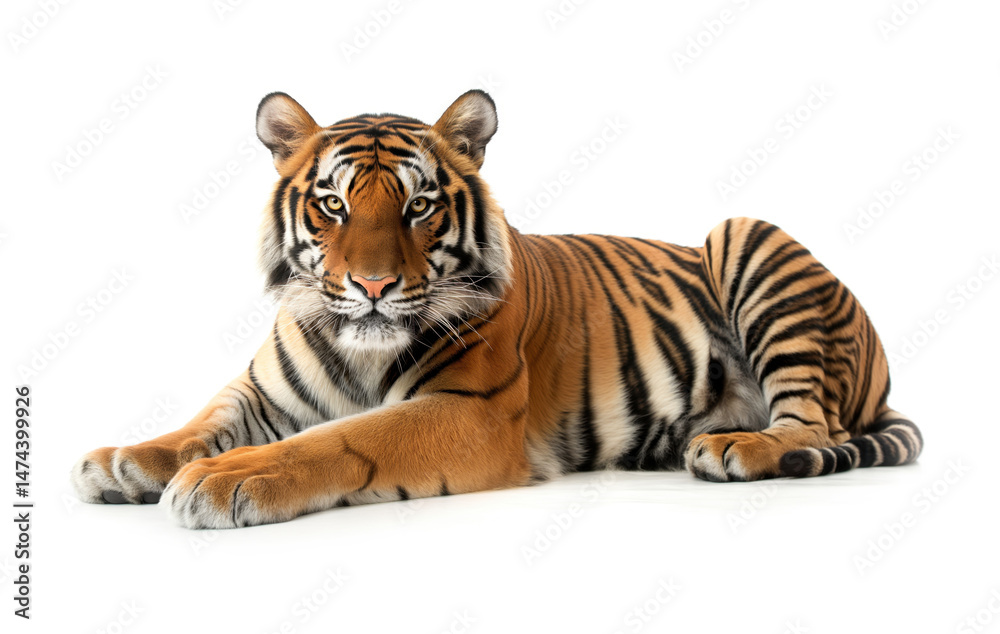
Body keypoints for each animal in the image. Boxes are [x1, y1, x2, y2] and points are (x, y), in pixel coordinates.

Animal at [71, 89, 923, 529]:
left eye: (417, 206)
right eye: (333, 205)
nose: (373, 286)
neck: (356, 343)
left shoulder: (470, 409)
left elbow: (345, 438)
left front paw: (223, 481)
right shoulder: (261, 391)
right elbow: (201, 422)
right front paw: (125, 460)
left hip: (746, 234)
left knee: (813, 425)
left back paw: (737, 447)